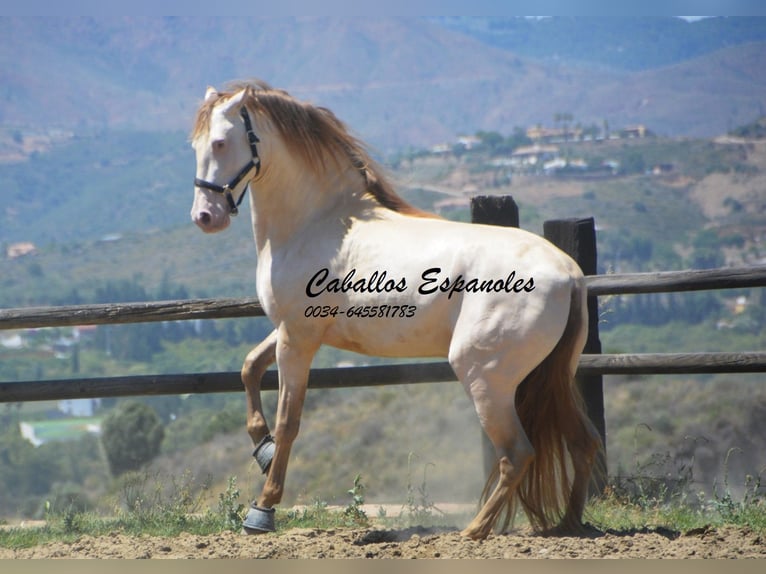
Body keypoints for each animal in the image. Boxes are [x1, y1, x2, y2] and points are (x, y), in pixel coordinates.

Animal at [189, 79, 604, 544]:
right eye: (195, 144)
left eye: (221, 142)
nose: (205, 217)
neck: (319, 222)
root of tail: (568, 272)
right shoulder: (291, 329)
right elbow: (248, 368)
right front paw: (262, 448)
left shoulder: (298, 338)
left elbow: (288, 422)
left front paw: (262, 510)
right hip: (553, 374)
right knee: (582, 442)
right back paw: (567, 524)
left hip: (485, 377)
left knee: (517, 453)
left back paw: (473, 531)